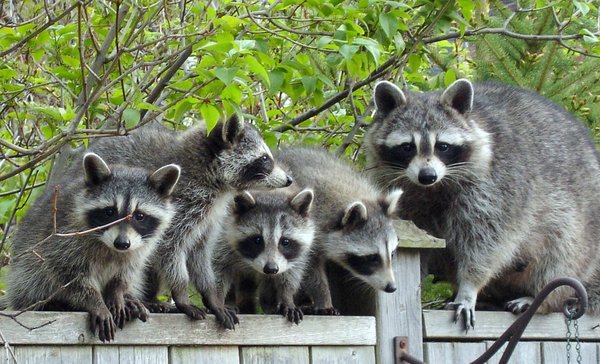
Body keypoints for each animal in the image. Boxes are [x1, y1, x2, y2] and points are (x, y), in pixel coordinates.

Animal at [217, 188, 318, 324]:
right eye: (257, 240)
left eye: (285, 242)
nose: (271, 269)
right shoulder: (221, 235)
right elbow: (218, 270)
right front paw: (218, 299)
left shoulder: (294, 257)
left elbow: (289, 275)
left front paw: (287, 297)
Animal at [274, 146, 400, 314]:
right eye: (372, 257)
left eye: (391, 254)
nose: (391, 287)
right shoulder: (306, 232)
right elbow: (310, 270)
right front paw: (323, 299)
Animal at [364, 79, 600, 330]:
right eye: (407, 146)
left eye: (443, 146)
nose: (427, 176)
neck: (434, 187)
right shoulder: (404, 192)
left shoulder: (498, 184)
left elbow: (486, 242)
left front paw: (469, 287)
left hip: (583, 225)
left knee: (563, 253)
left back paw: (542, 298)